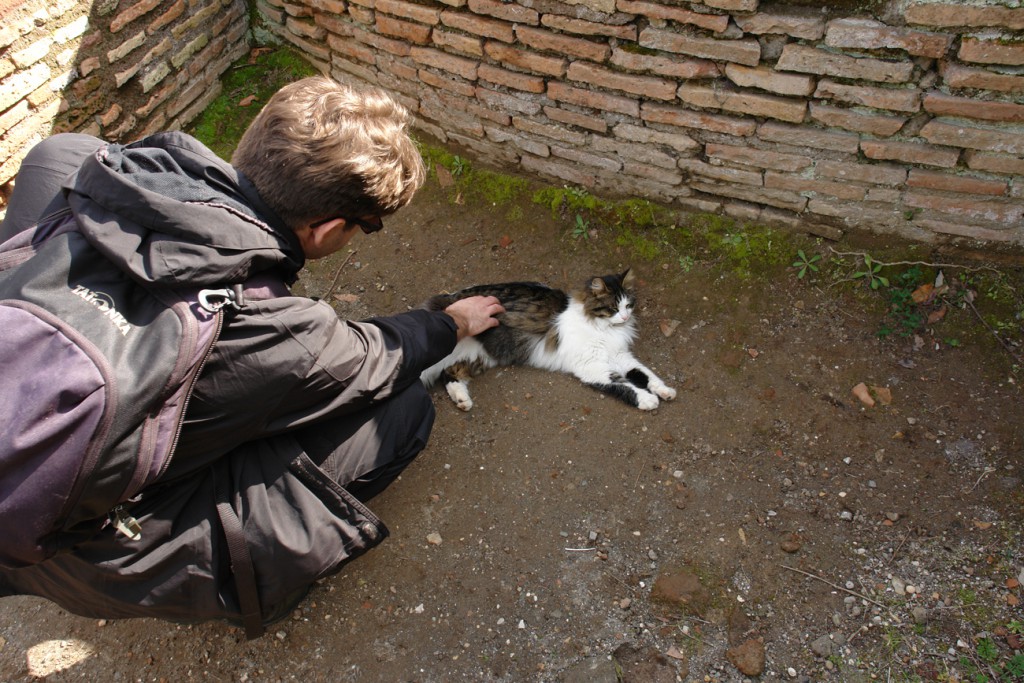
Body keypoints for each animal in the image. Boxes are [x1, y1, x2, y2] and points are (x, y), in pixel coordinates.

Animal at [419, 270, 675, 411]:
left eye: (628, 305)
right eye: (613, 308)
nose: (625, 317)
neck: (604, 329)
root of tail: (447, 299)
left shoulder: (621, 356)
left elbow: (646, 375)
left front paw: (664, 391)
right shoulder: (593, 366)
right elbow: (625, 385)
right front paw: (647, 399)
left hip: (477, 356)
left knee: (450, 374)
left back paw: (462, 400)